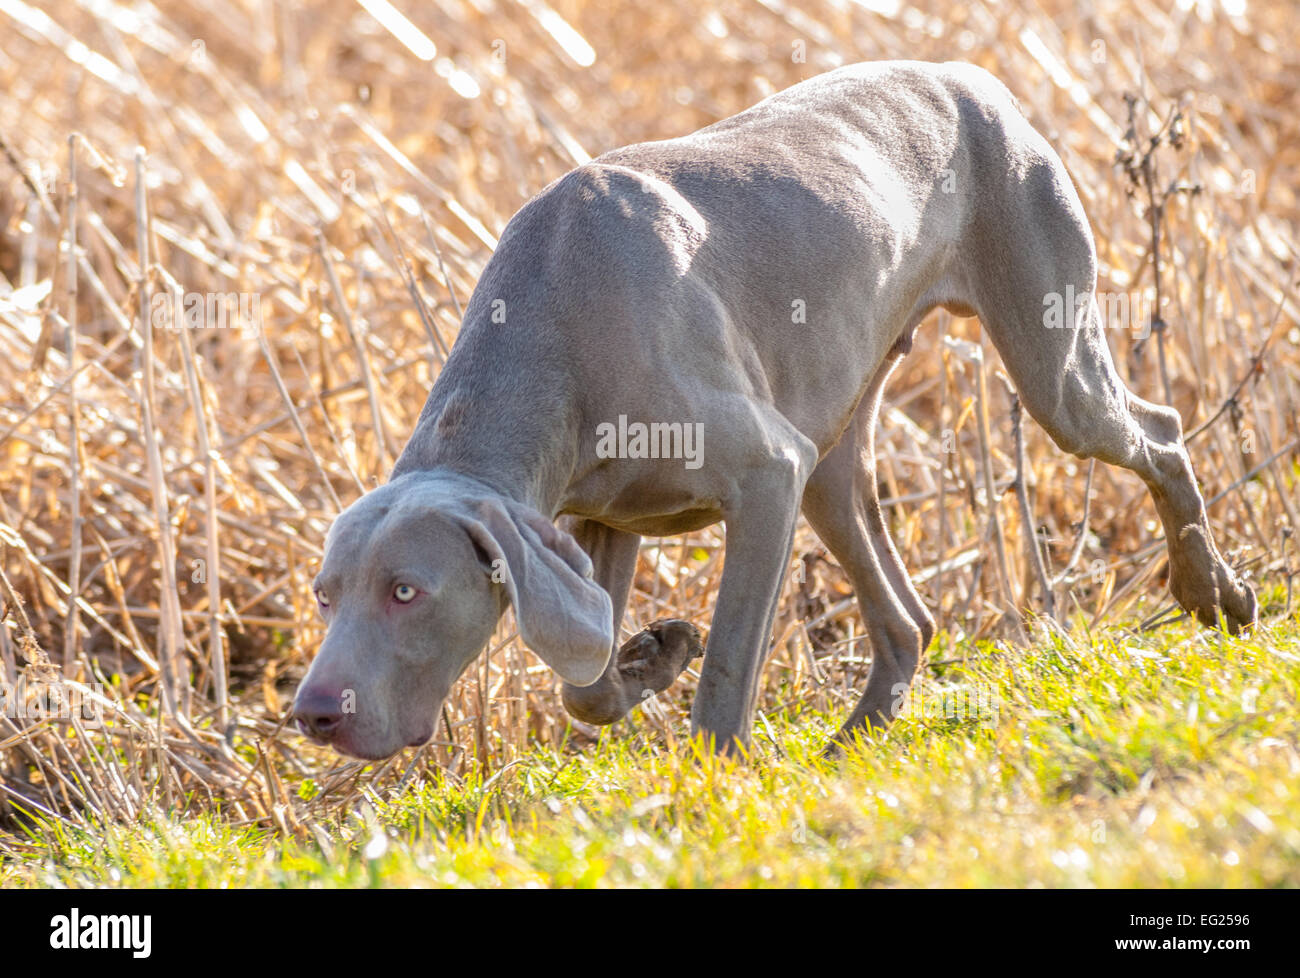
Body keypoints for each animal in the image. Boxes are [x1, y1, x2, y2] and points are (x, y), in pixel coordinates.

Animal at [292, 61, 1248, 759]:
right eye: (323, 596)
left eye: (407, 592)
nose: (314, 713)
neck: (545, 328)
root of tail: (969, 75)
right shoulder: (601, 516)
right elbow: (584, 679)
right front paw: (652, 654)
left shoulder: (764, 476)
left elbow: (725, 662)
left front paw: (712, 768)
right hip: (834, 458)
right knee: (907, 620)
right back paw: (856, 741)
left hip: (1050, 368)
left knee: (1159, 434)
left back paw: (1214, 594)